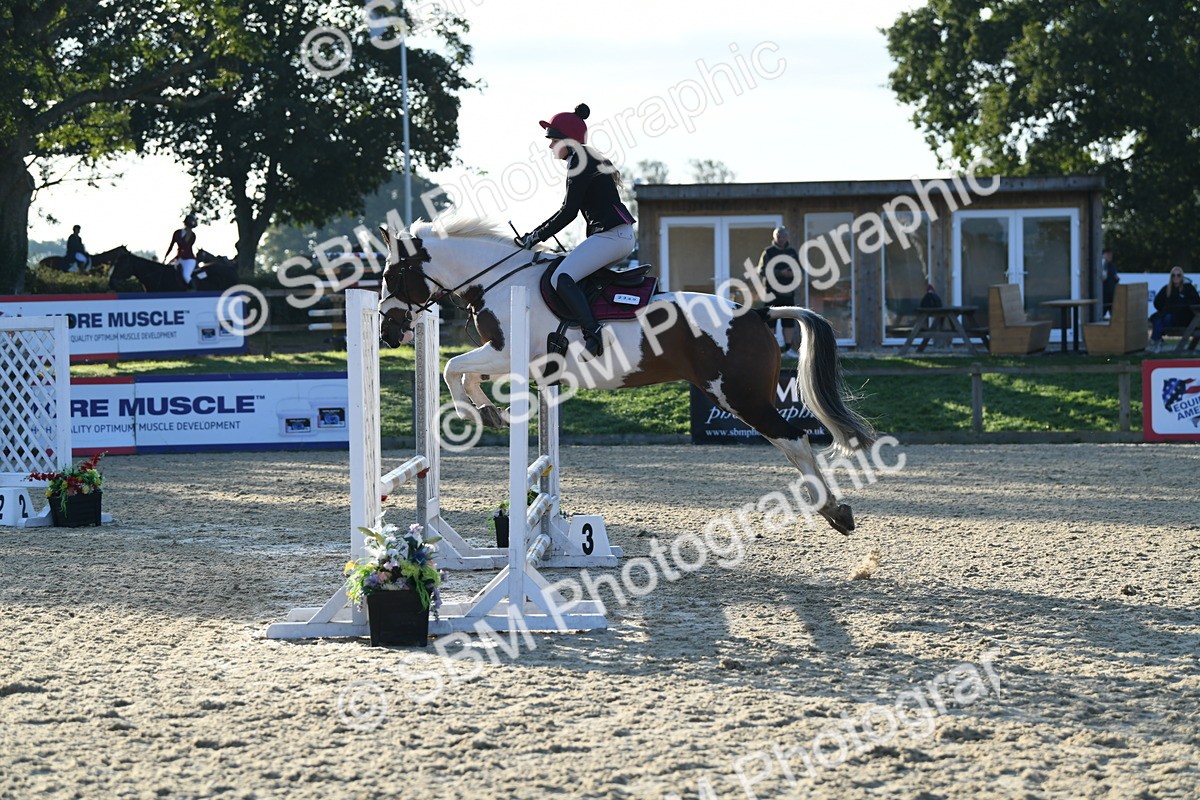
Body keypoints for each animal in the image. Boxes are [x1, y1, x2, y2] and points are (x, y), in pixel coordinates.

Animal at [377, 215, 875, 535]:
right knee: (793, 442)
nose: (387, 331)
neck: (501, 280)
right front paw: (489, 412)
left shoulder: (504, 353)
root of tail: (757, 312)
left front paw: (475, 413)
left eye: (392, 274)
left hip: (741, 398)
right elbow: (462, 373)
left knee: (796, 440)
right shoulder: (508, 359)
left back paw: (835, 511)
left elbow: (452, 369)